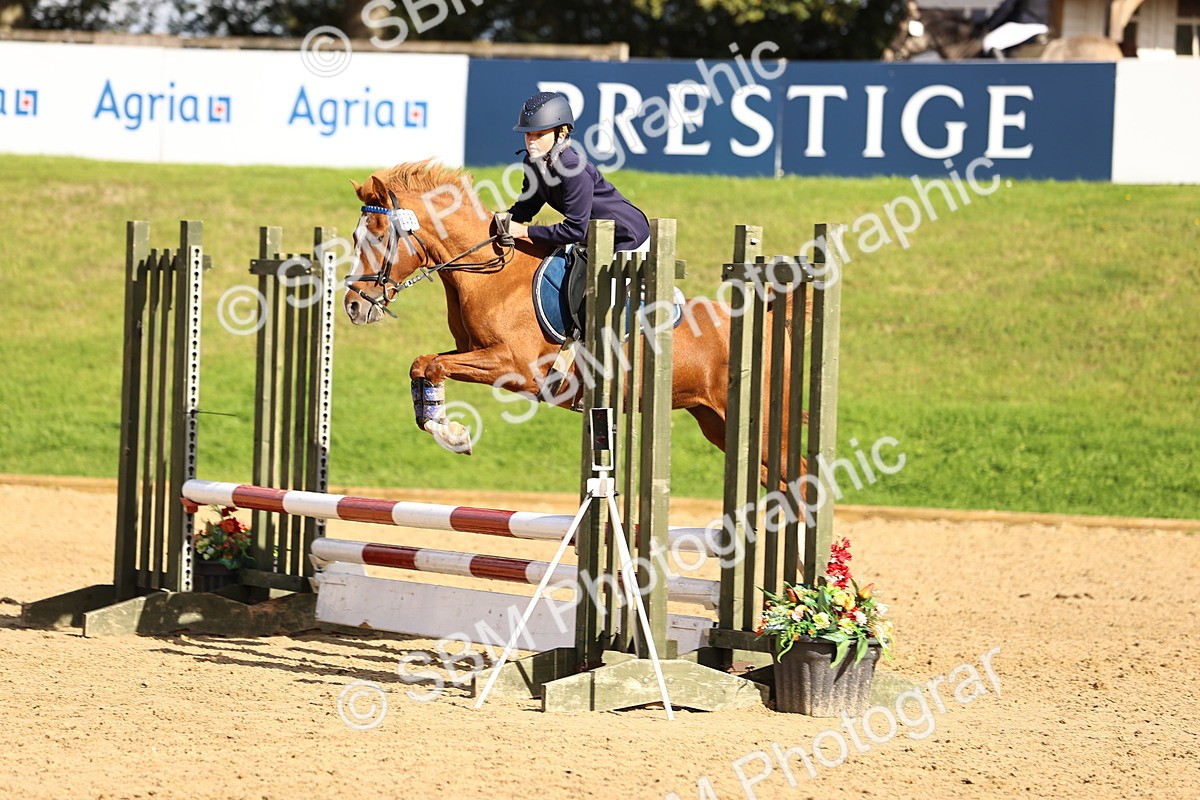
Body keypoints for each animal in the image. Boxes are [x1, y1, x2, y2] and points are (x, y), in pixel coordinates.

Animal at [343, 159, 803, 487]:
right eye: (353, 236)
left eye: (380, 234)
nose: (352, 306)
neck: (491, 274)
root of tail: (769, 328)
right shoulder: (473, 351)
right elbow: (422, 364)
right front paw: (448, 429)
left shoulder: (515, 367)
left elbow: (433, 364)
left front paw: (452, 434)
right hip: (719, 425)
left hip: (763, 430)